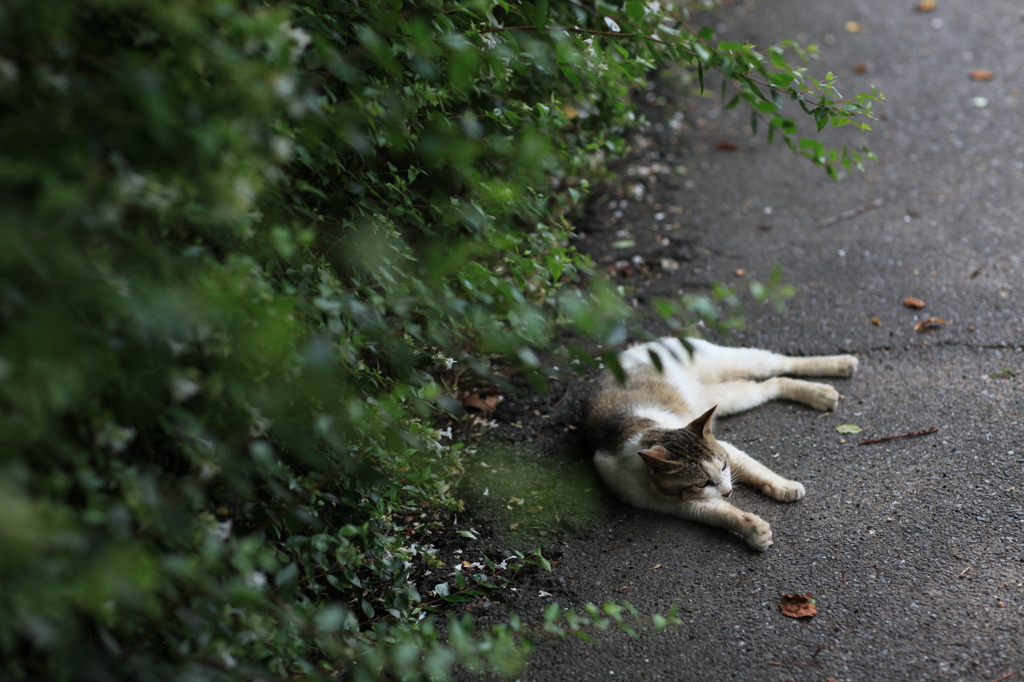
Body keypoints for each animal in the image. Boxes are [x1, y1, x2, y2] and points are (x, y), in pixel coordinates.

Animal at [585, 337, 856, 548]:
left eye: (724, 467)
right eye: (702, 483)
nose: (727, 492)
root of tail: (633, 348)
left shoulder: (729, 452)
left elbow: (757, 469)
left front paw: (784, 485)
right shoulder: (684, 504)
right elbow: (723, 514)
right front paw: (753, 530)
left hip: (731, 362)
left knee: (780, 363)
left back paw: (837, 368)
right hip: (728, 397)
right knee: (772, 384)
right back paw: (818, 393)